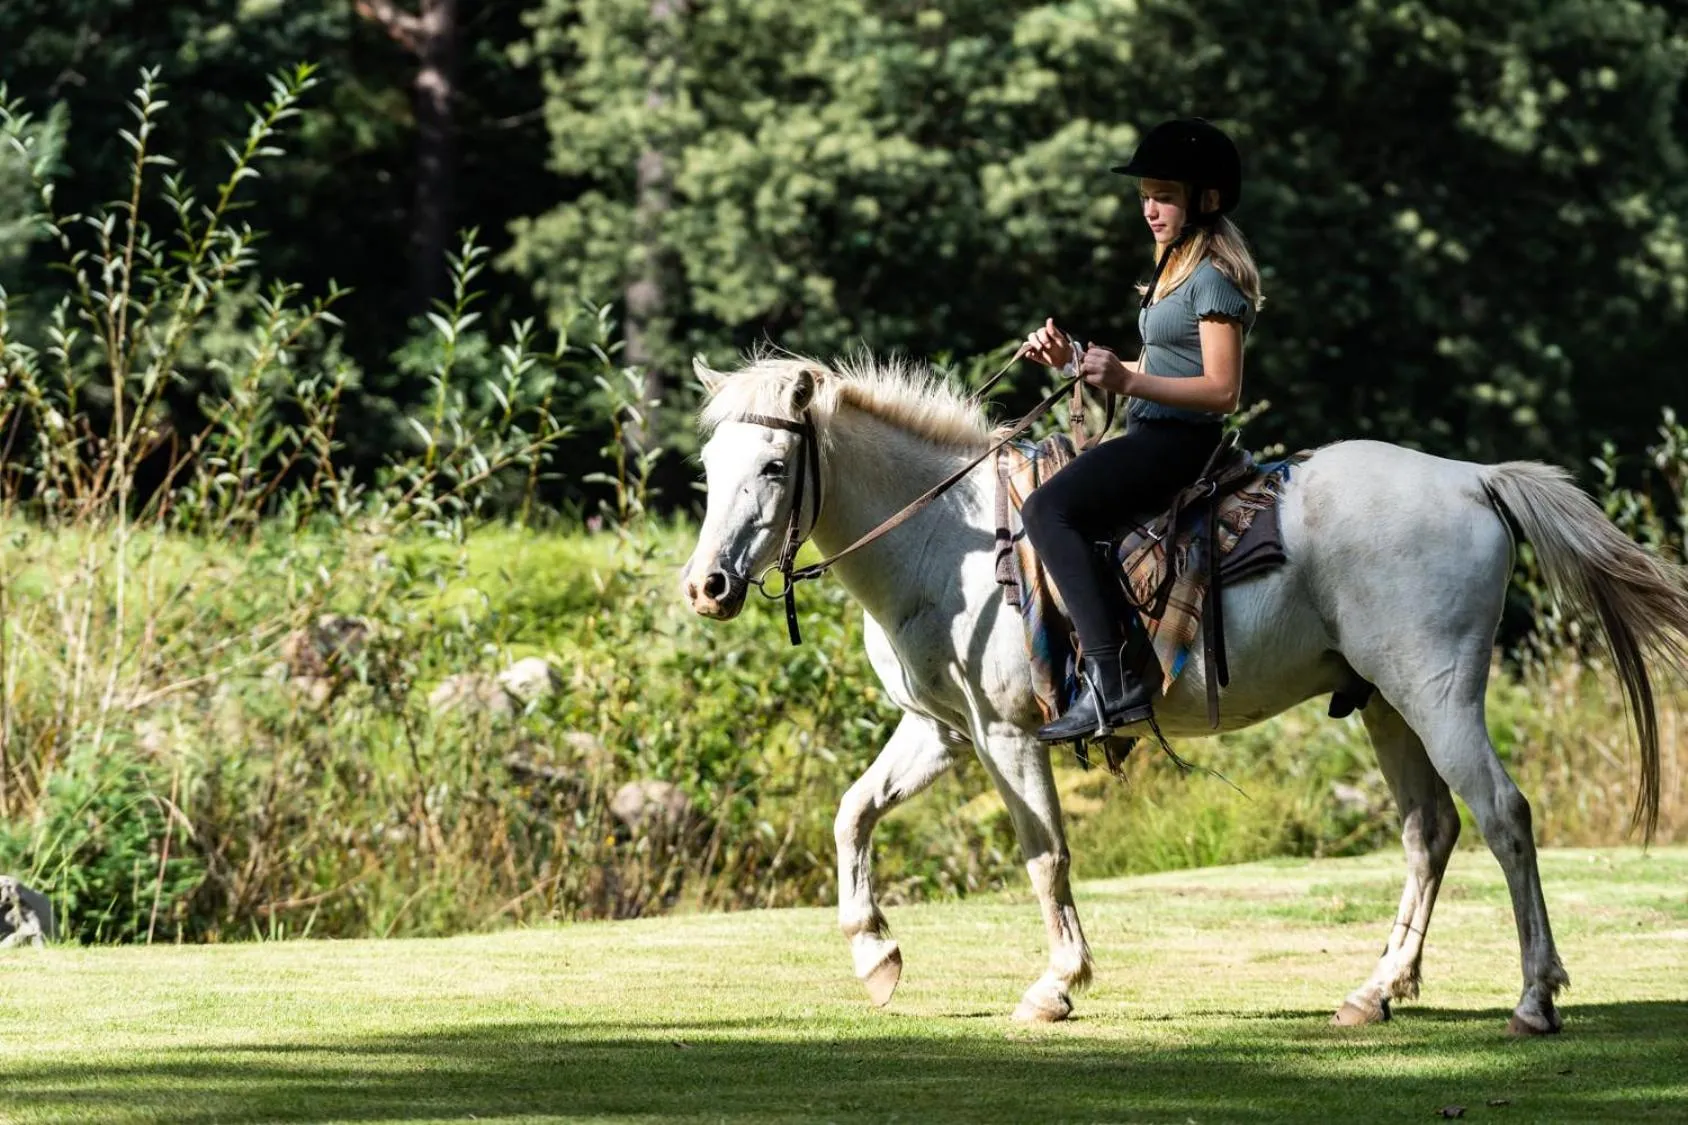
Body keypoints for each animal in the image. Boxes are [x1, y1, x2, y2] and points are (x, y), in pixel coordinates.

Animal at [678, 350, 1688, 1034]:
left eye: (774, 467)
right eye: (708, 469)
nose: (707, 586)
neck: (946, 543)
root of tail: (1474, 480)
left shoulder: (1009, 737)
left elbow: (1046, 856)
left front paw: (1056, 983)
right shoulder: (942, 731)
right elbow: (852, 813)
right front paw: (875, 953)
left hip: (1436, 694)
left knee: (1503, 816)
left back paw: (1534, 997)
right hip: (1388, 704)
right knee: (1428, 831)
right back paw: (1375, 991)